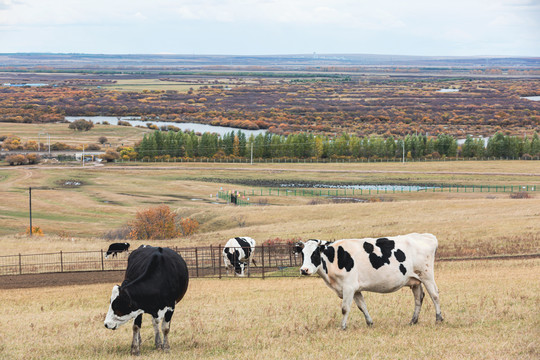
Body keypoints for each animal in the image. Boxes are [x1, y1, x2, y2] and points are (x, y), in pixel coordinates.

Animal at [296, 233, 442, 330]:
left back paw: (439, 318)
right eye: (302, 254)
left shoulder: (348, 287)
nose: (304, 270)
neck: (335, 257)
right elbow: (362, 306)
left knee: (434, 295)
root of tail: (425, 236)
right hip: (415, 280)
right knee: (418, 298)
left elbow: (345, 308)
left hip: (427, 276)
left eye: (315, 253)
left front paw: (343, 327)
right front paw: (370, 323)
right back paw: (413, 321)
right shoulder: (355, 289)